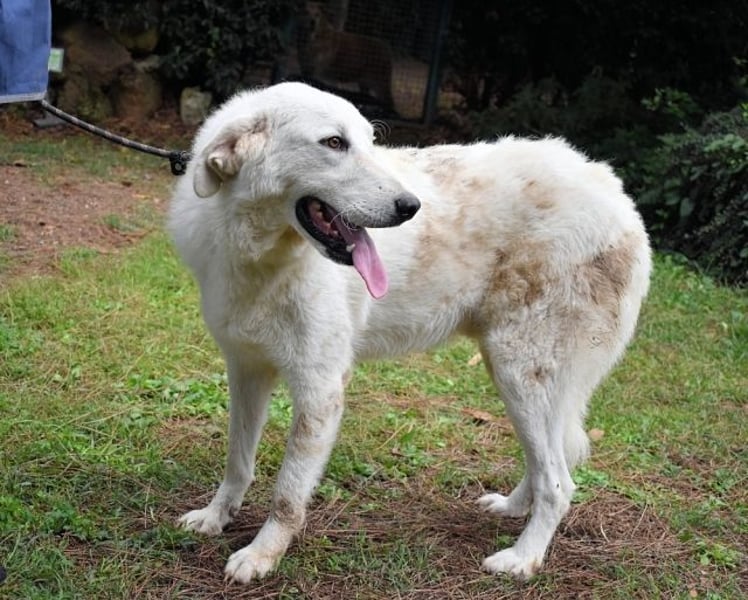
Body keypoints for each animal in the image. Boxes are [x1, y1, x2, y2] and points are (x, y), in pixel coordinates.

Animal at [168, 82, 651, 584]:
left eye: (369, 140)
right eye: (334, 143)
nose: (410, 207)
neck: (261, 257)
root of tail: (617, 196)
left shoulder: (320, 392)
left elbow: (287, 495)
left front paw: (261, 556)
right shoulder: (246, 372)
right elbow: (237, 463)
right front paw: (216, 517)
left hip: (521, 374)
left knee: (558, 482)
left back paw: (522, 559)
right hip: (520, 379)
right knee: (545, 466)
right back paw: (512, 508)